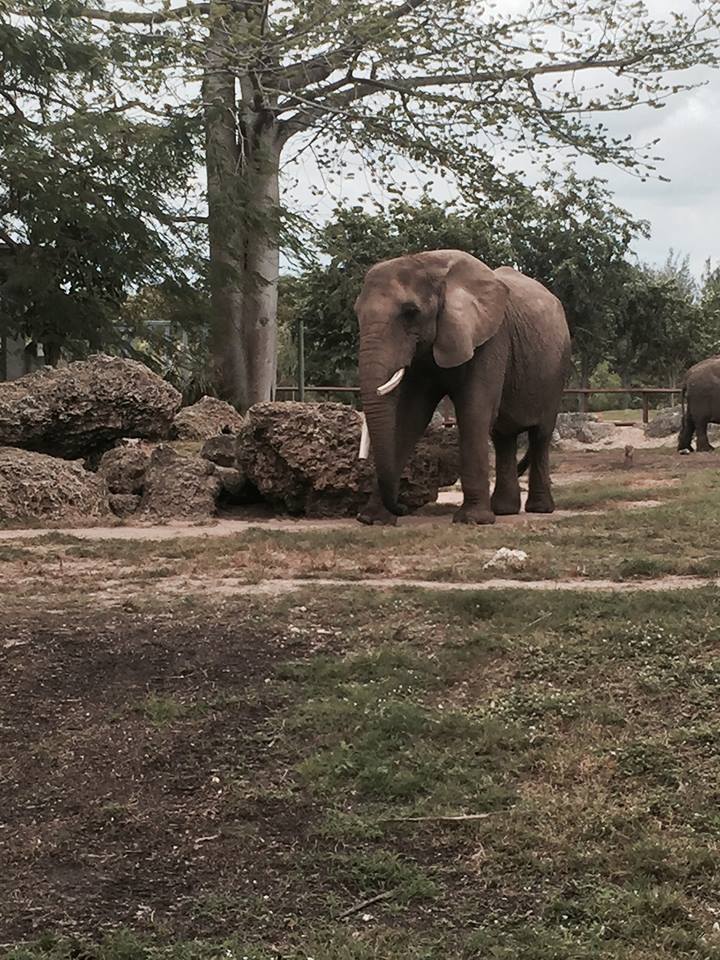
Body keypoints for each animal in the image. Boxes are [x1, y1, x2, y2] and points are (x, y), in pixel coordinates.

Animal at [355, 249, 571, 525]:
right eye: (356, 313)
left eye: (411, 312)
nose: (402, 508)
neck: (429, 263)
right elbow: (409, 417)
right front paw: (372, 519)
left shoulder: (492, 339)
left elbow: (474, 411)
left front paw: (472, 520)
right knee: (503, 437)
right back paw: (504, 510)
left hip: (556, 371)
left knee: (540, 434)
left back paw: (539, 509)